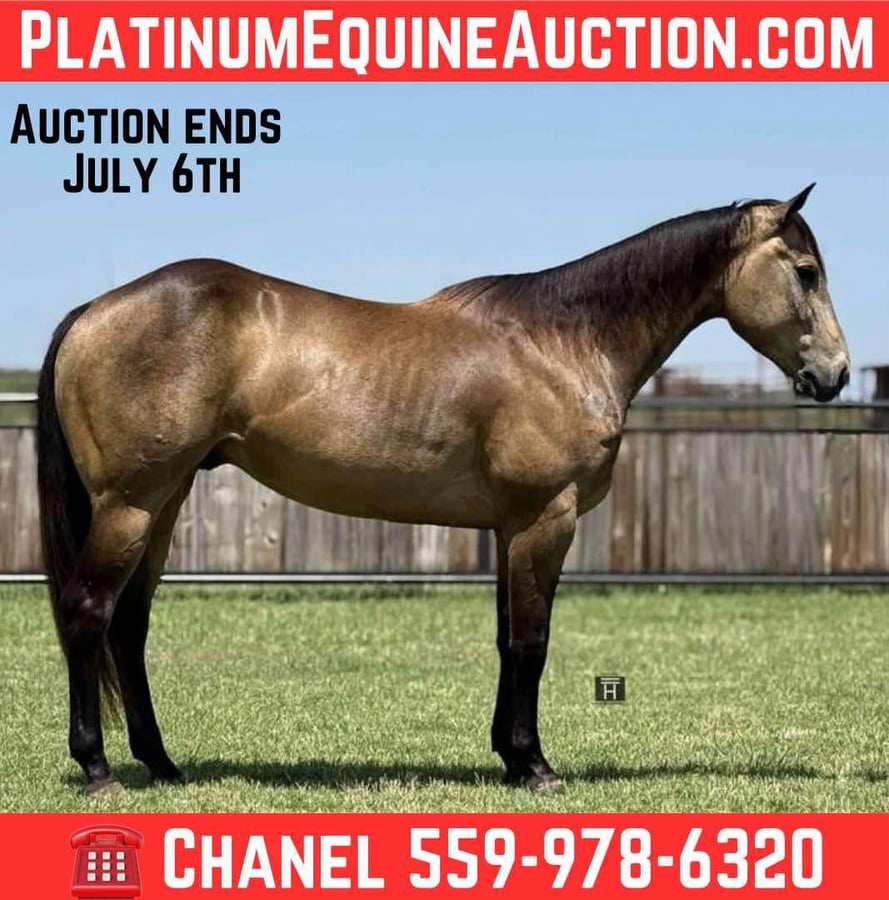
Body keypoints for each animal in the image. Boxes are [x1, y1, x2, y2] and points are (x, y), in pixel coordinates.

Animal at [37, 184, 849, 795]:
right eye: (806, 270)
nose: (835, 375)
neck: (564, 343)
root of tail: (92, 311)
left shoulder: (508, 528)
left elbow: (505, 638)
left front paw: (509, 756)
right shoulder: (543, 520)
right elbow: (531, 640)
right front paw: (535, 765)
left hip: (163, 504)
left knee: (129, 626)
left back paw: (163, 764)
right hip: (130, 505)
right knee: (87, 613)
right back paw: (100, 768)